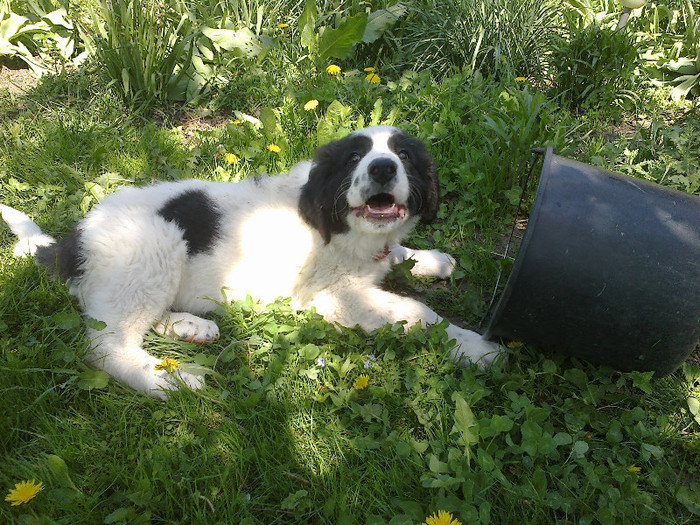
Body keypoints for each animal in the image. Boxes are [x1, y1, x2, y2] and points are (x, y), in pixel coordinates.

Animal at [2, 126, 500, 398]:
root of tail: (72, 242)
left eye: (403, 156)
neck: (341, 223)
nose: (382, 169)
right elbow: (417, 312)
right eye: (356, 157)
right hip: (154, 250)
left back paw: (192, 328)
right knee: (106, 344)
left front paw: (432, 259)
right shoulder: (335, 296)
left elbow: (396, 255)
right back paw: (170, 382)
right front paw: (475, 347)